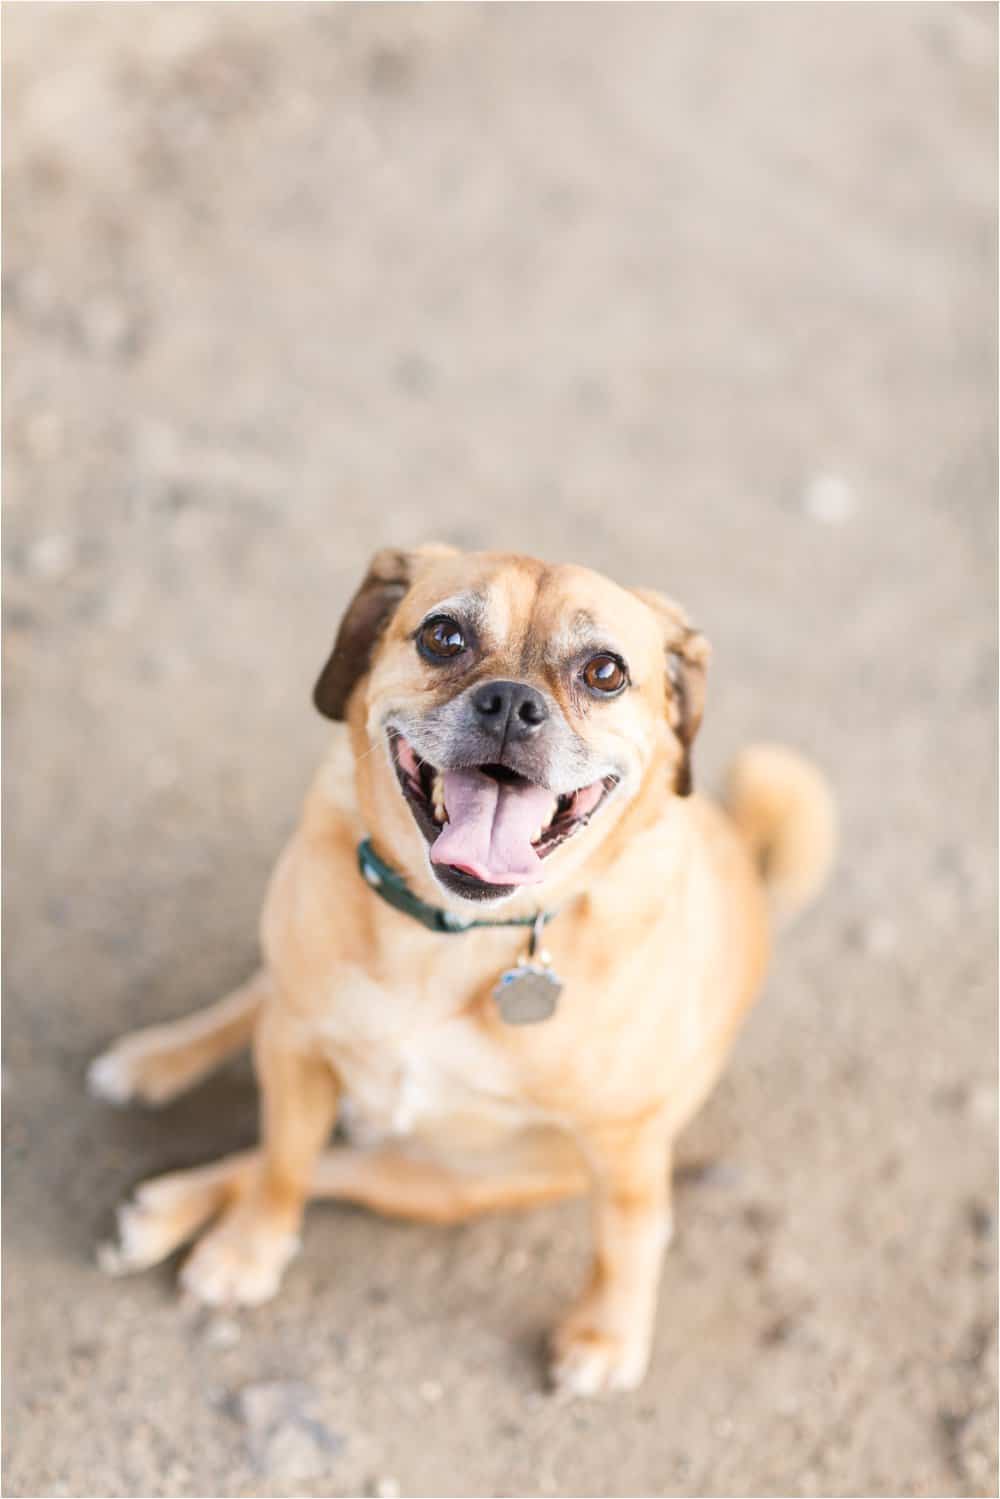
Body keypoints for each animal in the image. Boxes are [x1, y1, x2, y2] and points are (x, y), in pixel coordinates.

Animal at [91, 548, 839, 1391]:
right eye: (442, 636)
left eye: (606, 671)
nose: (512, 703)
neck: (456, 934)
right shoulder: (296, 1048)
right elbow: (282, 1163)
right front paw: (249, 1249)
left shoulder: (626, 1141)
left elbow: (631, 1236)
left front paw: (607, 1335)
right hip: (294, 1009)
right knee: (258, 1026)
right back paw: (153, 1063)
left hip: (441, 1184)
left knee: (340, 1165)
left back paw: (163, 1205)